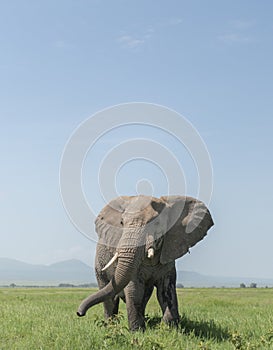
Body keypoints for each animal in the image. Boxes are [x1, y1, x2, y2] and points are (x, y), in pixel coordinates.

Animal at [76, 194, 212, 330]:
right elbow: (135, 290)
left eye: (156, 223)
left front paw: (169, 328)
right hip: (99, 265)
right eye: (121, 223)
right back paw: (111, 326)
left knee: (144, 295)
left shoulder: (168, 254)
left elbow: (166, 291)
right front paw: (137, 331)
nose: (79, 313)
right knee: (109, 296)